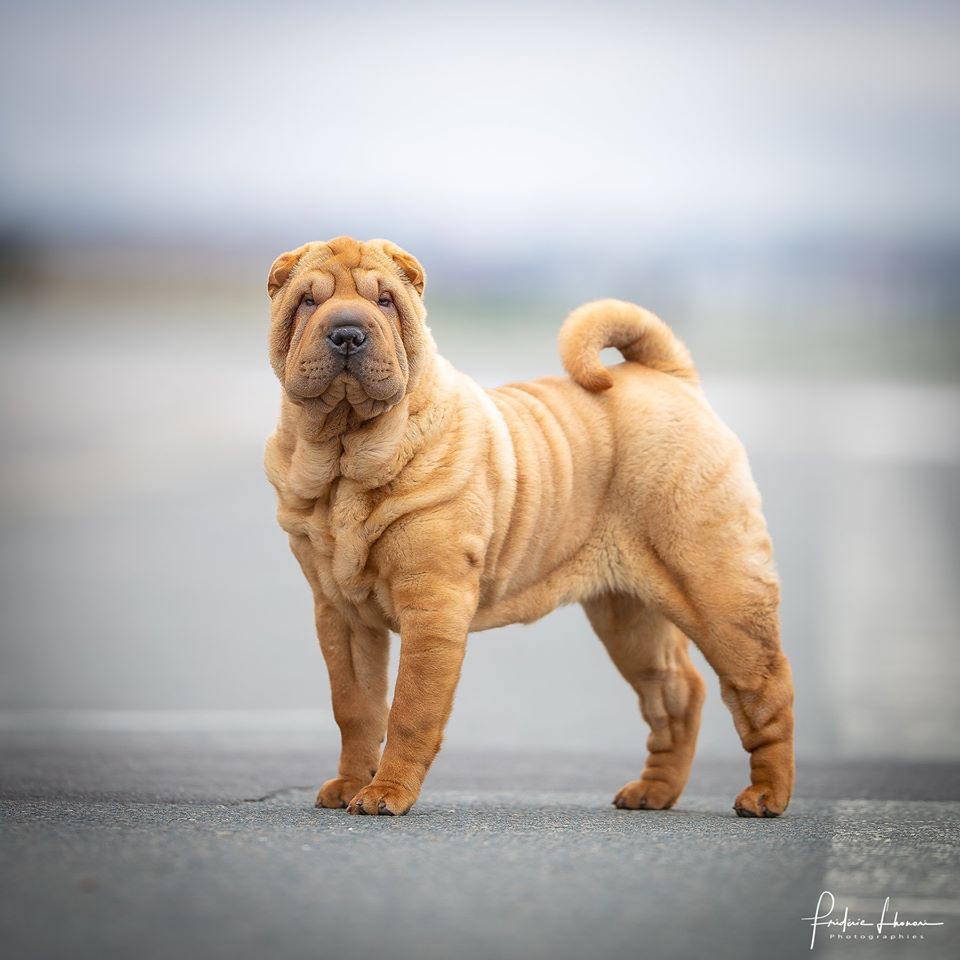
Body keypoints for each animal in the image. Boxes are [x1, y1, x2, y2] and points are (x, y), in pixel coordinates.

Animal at [264, 238, 796, 816]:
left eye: (384, 301)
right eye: (308, 302)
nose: (347, 332)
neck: (345, 460)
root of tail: (671, 378)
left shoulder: (432, 603)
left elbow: (410, 707)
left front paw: (386, 793)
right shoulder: (338, 611)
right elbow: (356, 707)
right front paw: (348, 784)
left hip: (718, 589)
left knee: (765, 685)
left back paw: (766, 795)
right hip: (627, 617)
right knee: (677, 691)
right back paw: (653, 792)